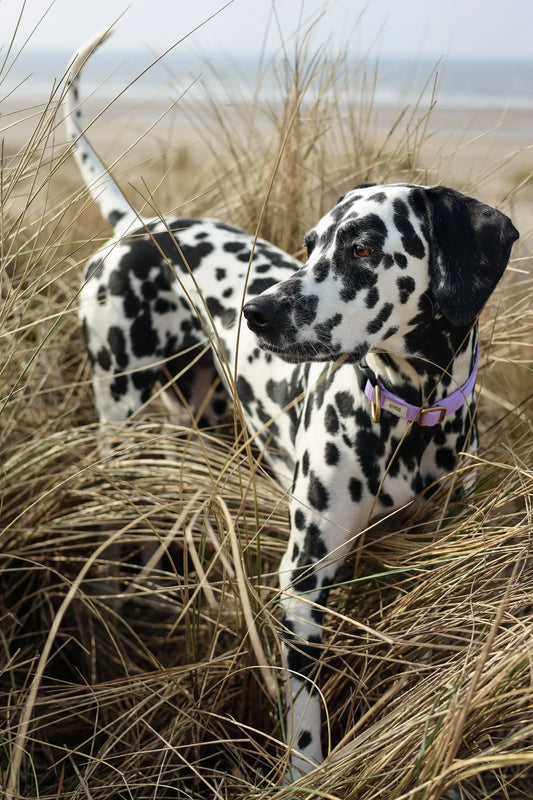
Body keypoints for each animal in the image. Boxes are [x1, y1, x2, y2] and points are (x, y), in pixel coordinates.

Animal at [65, 31, 516, 780]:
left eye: (362, 247)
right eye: (309, 244)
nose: (257, 311)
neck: (410, 415)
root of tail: (138, 230)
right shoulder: (303, 582)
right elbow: (305, 713)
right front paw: (306, 778)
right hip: (120, 415)